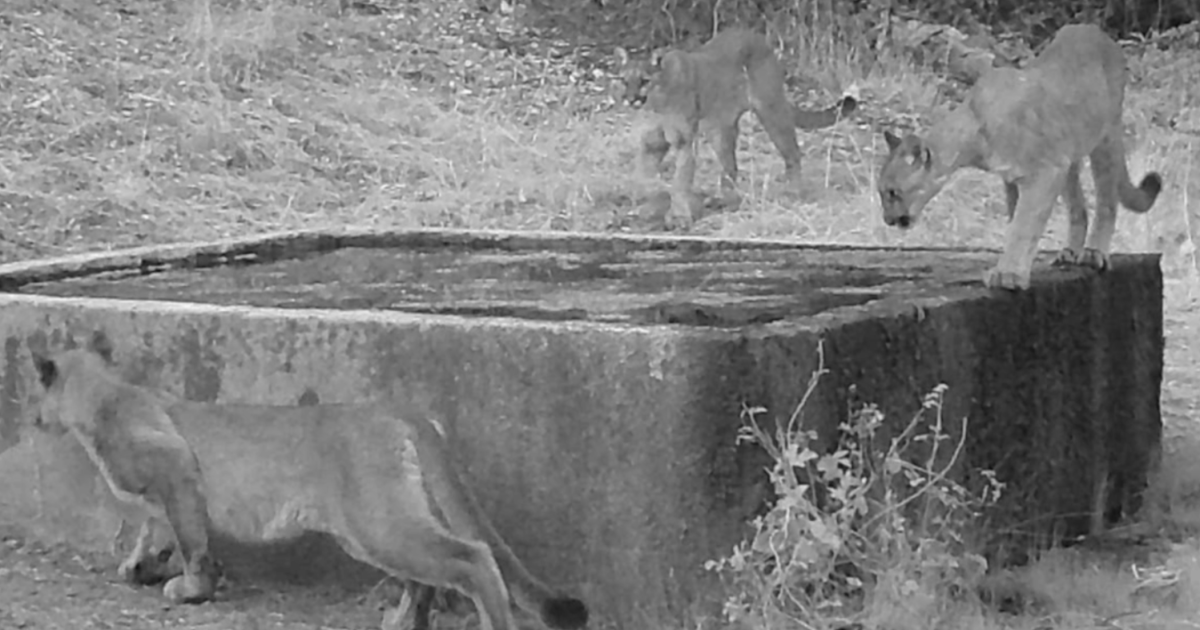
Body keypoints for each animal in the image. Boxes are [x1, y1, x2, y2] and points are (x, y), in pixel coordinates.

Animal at [29, 332, 589, 630]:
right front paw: (141, 566)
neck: (106, 396)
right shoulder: (162, 494)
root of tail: (394, 407)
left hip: (376, 521)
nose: (30, 418)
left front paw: (191, 588)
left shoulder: (177, 468)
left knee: (472, 557)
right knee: (431, 572)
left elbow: (191, 540)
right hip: (378, 525)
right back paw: (403, 621)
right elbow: (156, 530)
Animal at [615, 28, 858, 230]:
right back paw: (723, 201)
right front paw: (646, 200)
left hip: (771, 111)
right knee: (731, 167)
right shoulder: (652, 143)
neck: (657, 102)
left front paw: (678, 216)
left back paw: (793, 193)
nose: (630, 99)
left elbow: (680, 180)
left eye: (644, 80)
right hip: (719, 129)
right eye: (623, 80)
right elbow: (644, 176)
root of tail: (758, 38)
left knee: (792, 153)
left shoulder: (684, 141)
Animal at [877, 23, 1163, 291]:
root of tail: (1094, 30)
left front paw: (1009, 275)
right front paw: (1013, 269)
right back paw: (1070, 252)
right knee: (1078, 207)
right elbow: (1016, 223)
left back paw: (1094, 254)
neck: (974, 128)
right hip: (1068, 154)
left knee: (1107, 201)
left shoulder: (1044, 171)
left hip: (1104, 139)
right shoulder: (1015, 177)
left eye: (892, 192)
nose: (887, 220)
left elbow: (1023, 226)